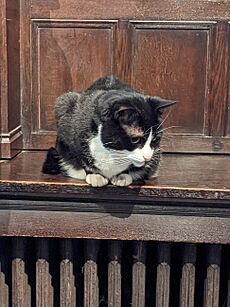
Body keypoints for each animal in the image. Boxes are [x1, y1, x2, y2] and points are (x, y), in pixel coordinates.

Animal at [42, 76, 174, 189]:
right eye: (135, 139)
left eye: (155, 139)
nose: (147, 157)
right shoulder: (69, 121)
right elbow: (80, 156)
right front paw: (95, 176)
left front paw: (123, 176)